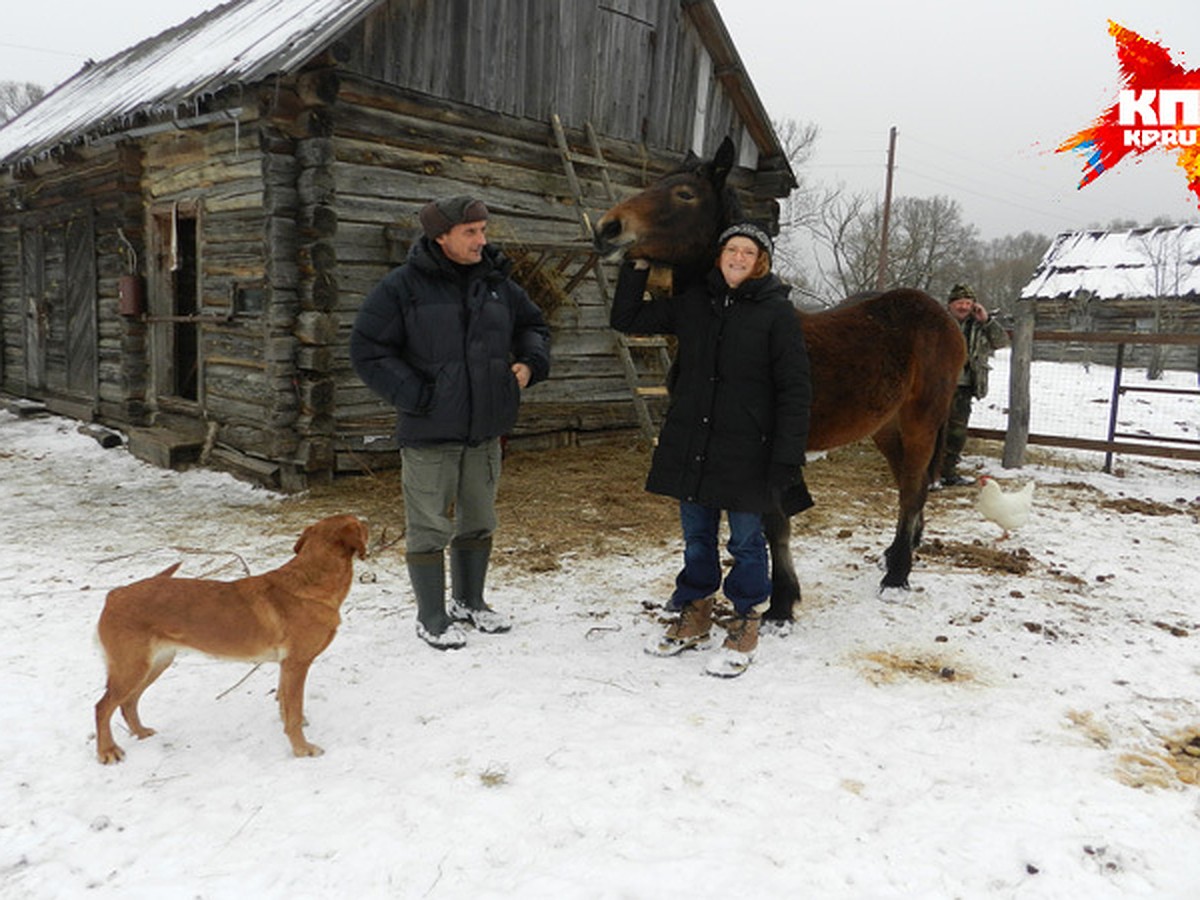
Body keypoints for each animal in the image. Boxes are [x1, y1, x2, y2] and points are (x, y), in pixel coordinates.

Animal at [94, 518, 364, 763]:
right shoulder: (297, 664)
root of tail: (115, 594)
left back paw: (141, 733)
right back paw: (107, 751)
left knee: (128, 703)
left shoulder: (286, 666)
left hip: (154, 665)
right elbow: (294, 713)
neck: (311, 582)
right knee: (102, 708)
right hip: (132, 669)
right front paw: (302, 749)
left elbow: (285, 705)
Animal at [595, 139, 969, 628]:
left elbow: (775, 526)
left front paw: (781, 604)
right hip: (887, 427)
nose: (607, 228)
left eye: (685, 194)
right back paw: (895, 555)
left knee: (911, 488)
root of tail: (943, 316)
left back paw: (897, 575)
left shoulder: (771, 454)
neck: (732, 306)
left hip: (921, 419)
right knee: (915, 483)